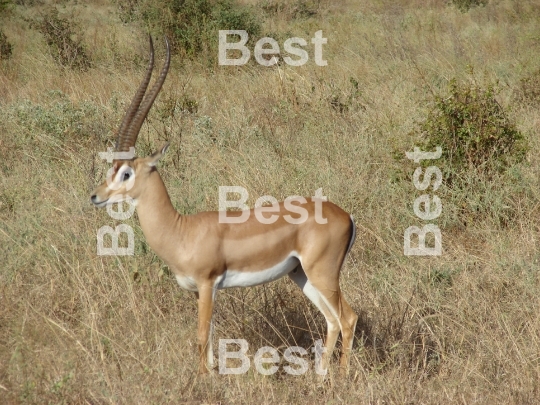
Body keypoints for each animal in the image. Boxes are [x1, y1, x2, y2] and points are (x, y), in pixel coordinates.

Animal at [90, 36, 356, 374]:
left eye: (126, 172)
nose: (95, 196)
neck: (182, 231)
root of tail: (346, 216)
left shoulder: (207, 284)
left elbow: (202, 338)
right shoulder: (203, 292)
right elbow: (211, 344)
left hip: (323, 274)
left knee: (348, 318)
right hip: (302, 275)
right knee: (332, 320)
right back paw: (321, 378)